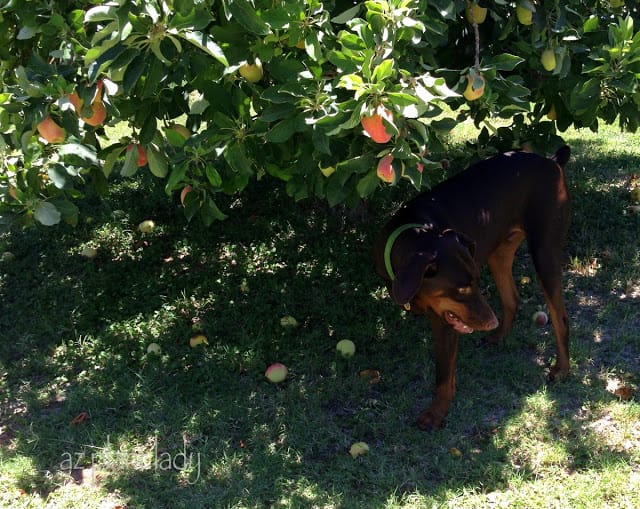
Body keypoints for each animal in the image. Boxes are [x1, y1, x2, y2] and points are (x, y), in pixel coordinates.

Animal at [372, 146, 572, 428]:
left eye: (474, 282)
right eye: (461, 290)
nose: (490, 322)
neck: (414, 232)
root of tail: (552, 162)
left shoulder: (444, 321)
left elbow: (443, 372)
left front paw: (436, 413)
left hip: (545, 250)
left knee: (559, 317)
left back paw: (562, 369)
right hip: (499, 252)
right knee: (512, 298)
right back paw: (499, 337)